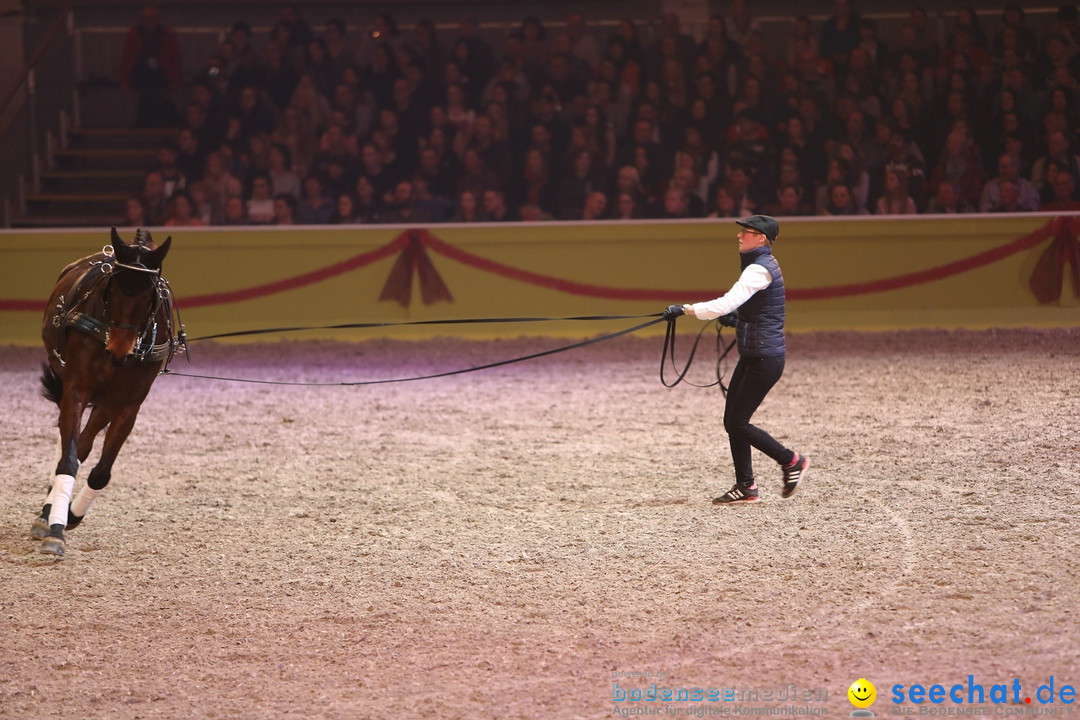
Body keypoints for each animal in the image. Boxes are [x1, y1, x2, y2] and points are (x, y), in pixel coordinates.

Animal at [31, 229, 183, 557]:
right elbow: (68, 460)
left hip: (105, 403)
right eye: (112, 290)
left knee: (84, 444)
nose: (118, 351)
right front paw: (56, 528)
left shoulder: (127, 406)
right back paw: (48, 514)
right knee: (71, 446)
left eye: (151, 297)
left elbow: (100, 472)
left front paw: (73, 513)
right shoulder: (76, 390)